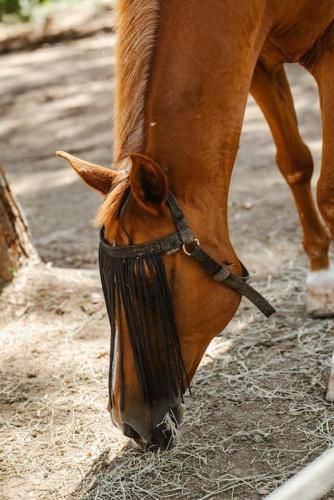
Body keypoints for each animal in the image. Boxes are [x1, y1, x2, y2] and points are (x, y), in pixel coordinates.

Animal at [58, 0, 334, 452]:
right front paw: (321, 276)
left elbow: (328, 193)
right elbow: (295, 163)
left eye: (151, 287)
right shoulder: (258, 59)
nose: (129, 425)